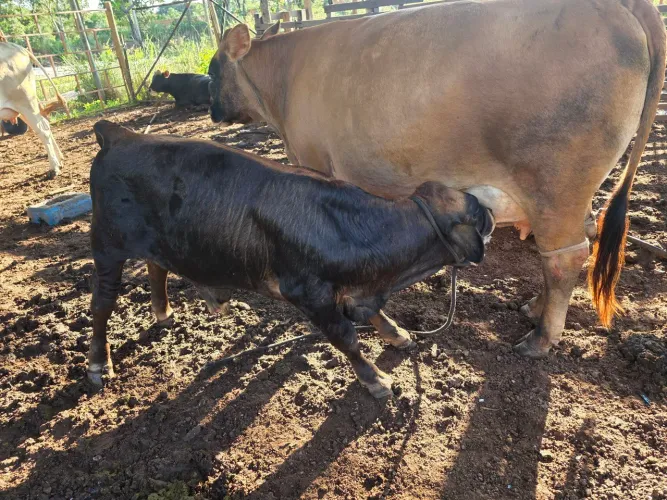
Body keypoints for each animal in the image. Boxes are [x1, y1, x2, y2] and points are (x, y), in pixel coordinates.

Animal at [0, 42, 65, 178]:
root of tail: (16, 46)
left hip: (26, 103)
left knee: (43, 130)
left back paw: (54, 168)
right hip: (22, 109)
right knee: (45, 125)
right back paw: (59, 160)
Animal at [88, 120, 494, 398]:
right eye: (475, 212)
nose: (491, 213)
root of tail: (120, 134)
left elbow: (376, 315)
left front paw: (397, 334)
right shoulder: (308, 294)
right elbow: (346, 338)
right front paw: (376, 379)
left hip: (154, 240)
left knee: (156, 264)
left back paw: (163, 312)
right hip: (106, 243)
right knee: (102, 303)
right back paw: (98, 364)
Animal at [207, 0, 666, 359]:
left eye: (213, 71)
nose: (210, 110)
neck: (285, 80)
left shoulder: (317, 166)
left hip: (556, 186)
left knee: (565, 257)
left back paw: (541, 338)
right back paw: (535, 308)